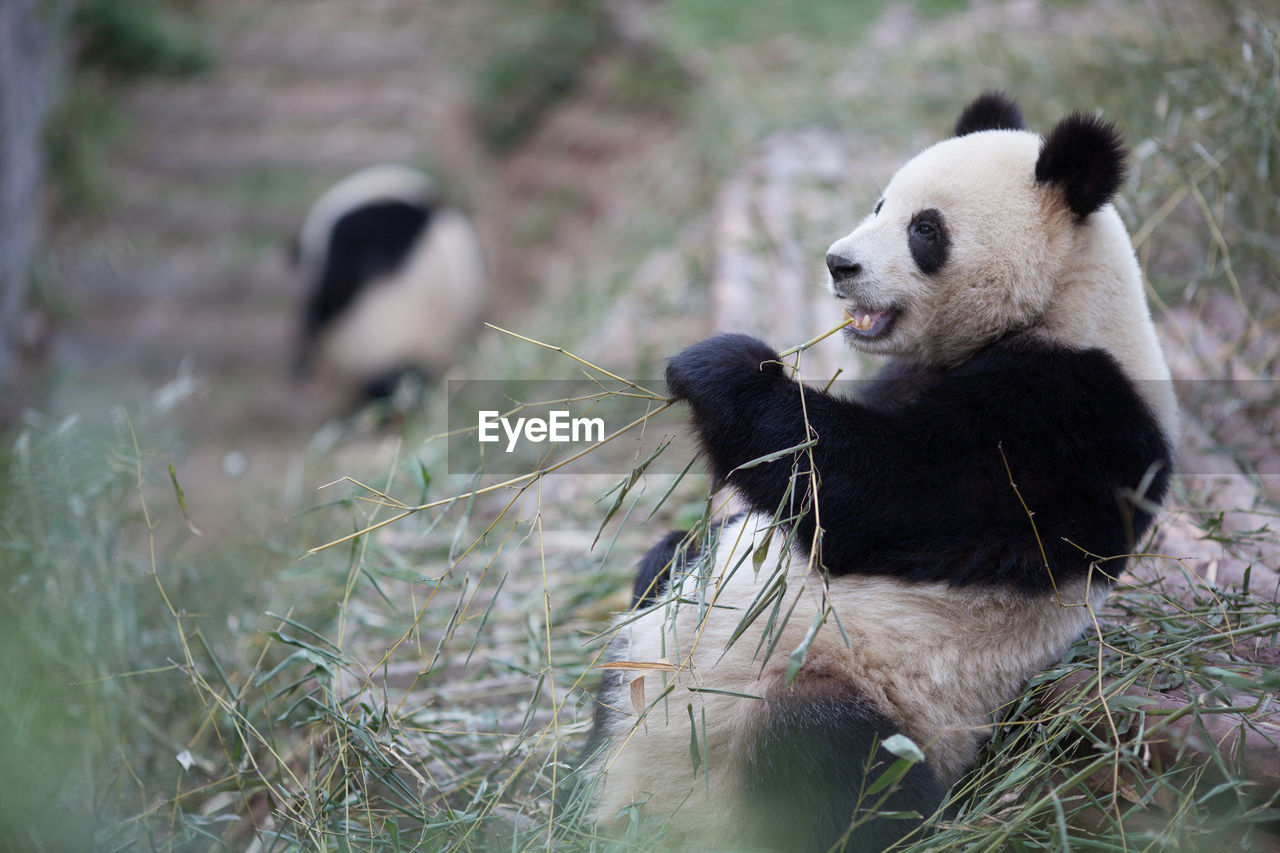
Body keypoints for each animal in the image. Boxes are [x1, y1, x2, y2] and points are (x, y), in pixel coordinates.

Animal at [581, 96, 1177, 850]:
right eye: (879, 203)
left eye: (925, 229)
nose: (839, 263)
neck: (1065, 303)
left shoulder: (1071, 422)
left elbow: (877, 491)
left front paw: (722, 364)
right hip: (651, 644)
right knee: (656, 586)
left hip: (862, 696)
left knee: (827, 755)